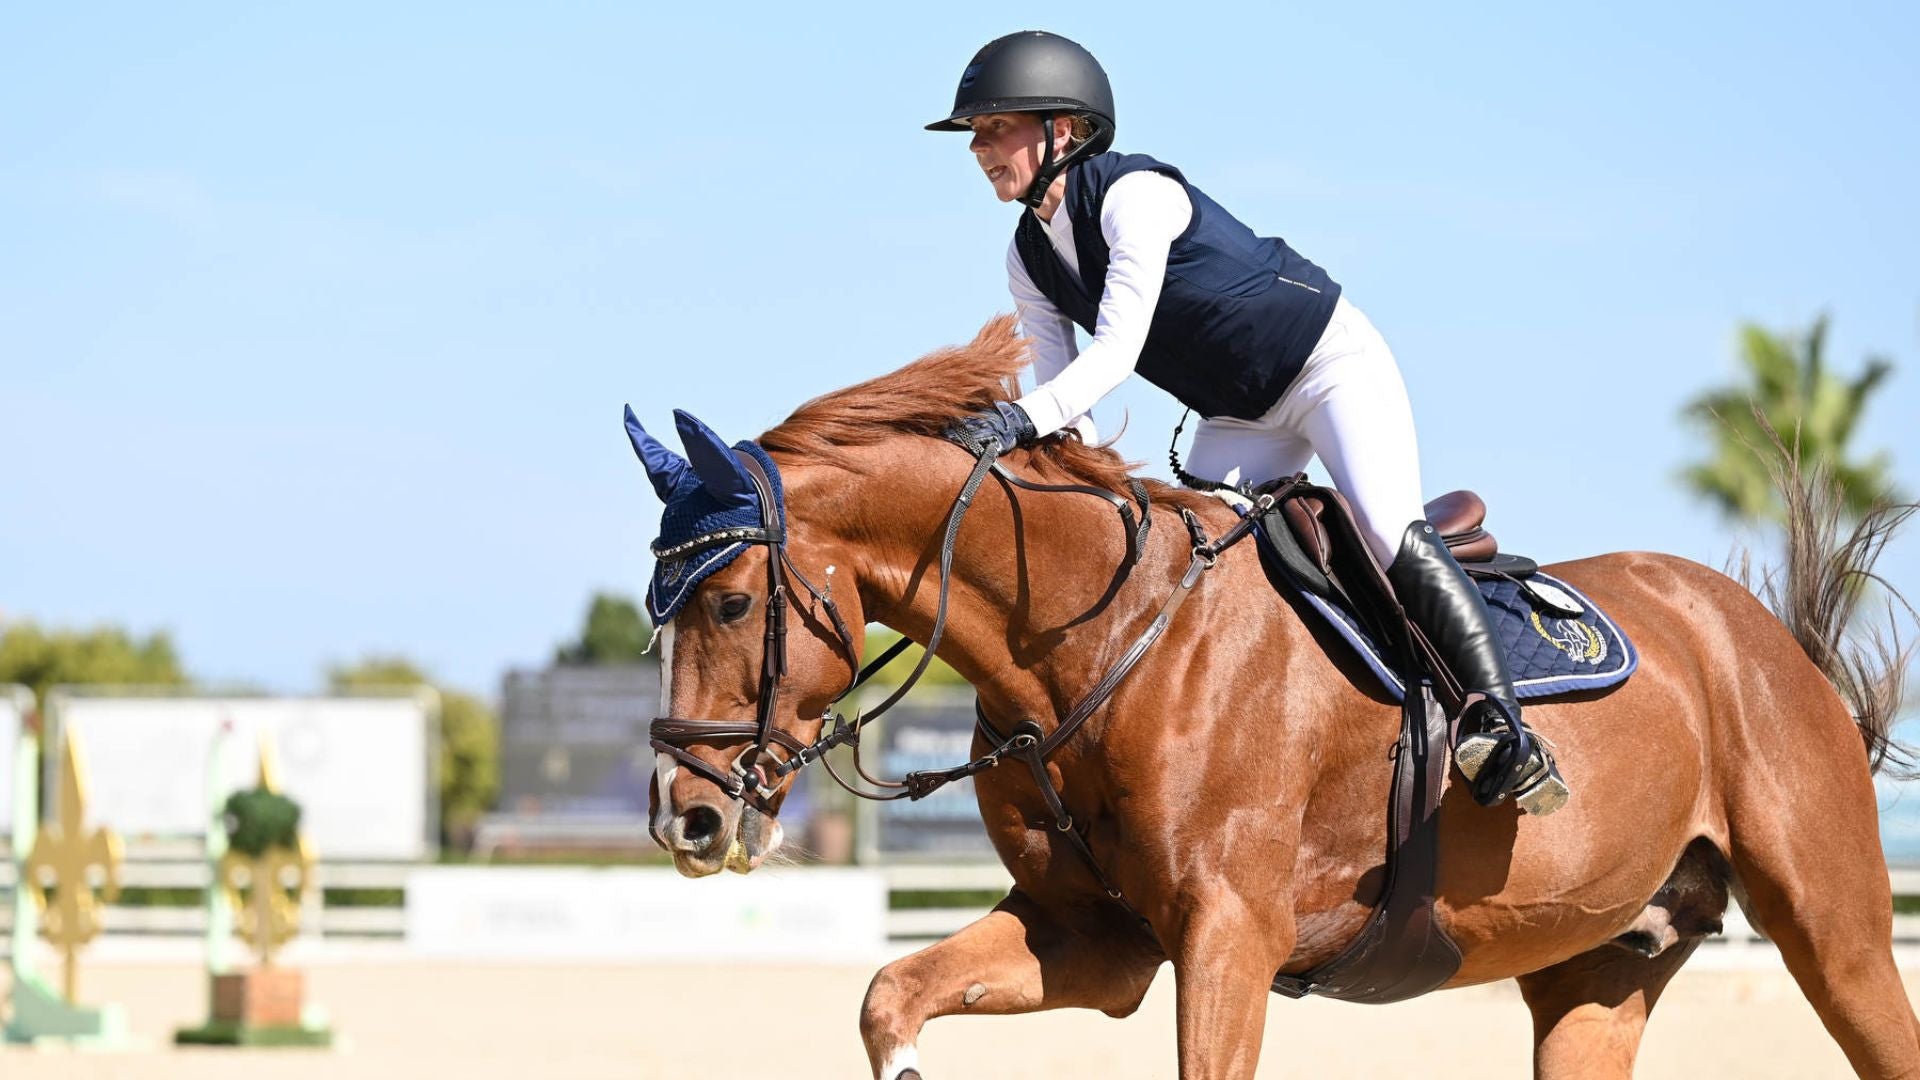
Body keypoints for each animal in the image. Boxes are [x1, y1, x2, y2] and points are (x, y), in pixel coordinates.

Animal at [635, 316, 1918, 1079]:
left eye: (731, 604)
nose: (686, 819)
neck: (1101, 643)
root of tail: (1764, 637)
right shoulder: (1093, 941)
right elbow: (889, 994)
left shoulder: (1228, 940)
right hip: (1596, 973)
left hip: (1836, 931)